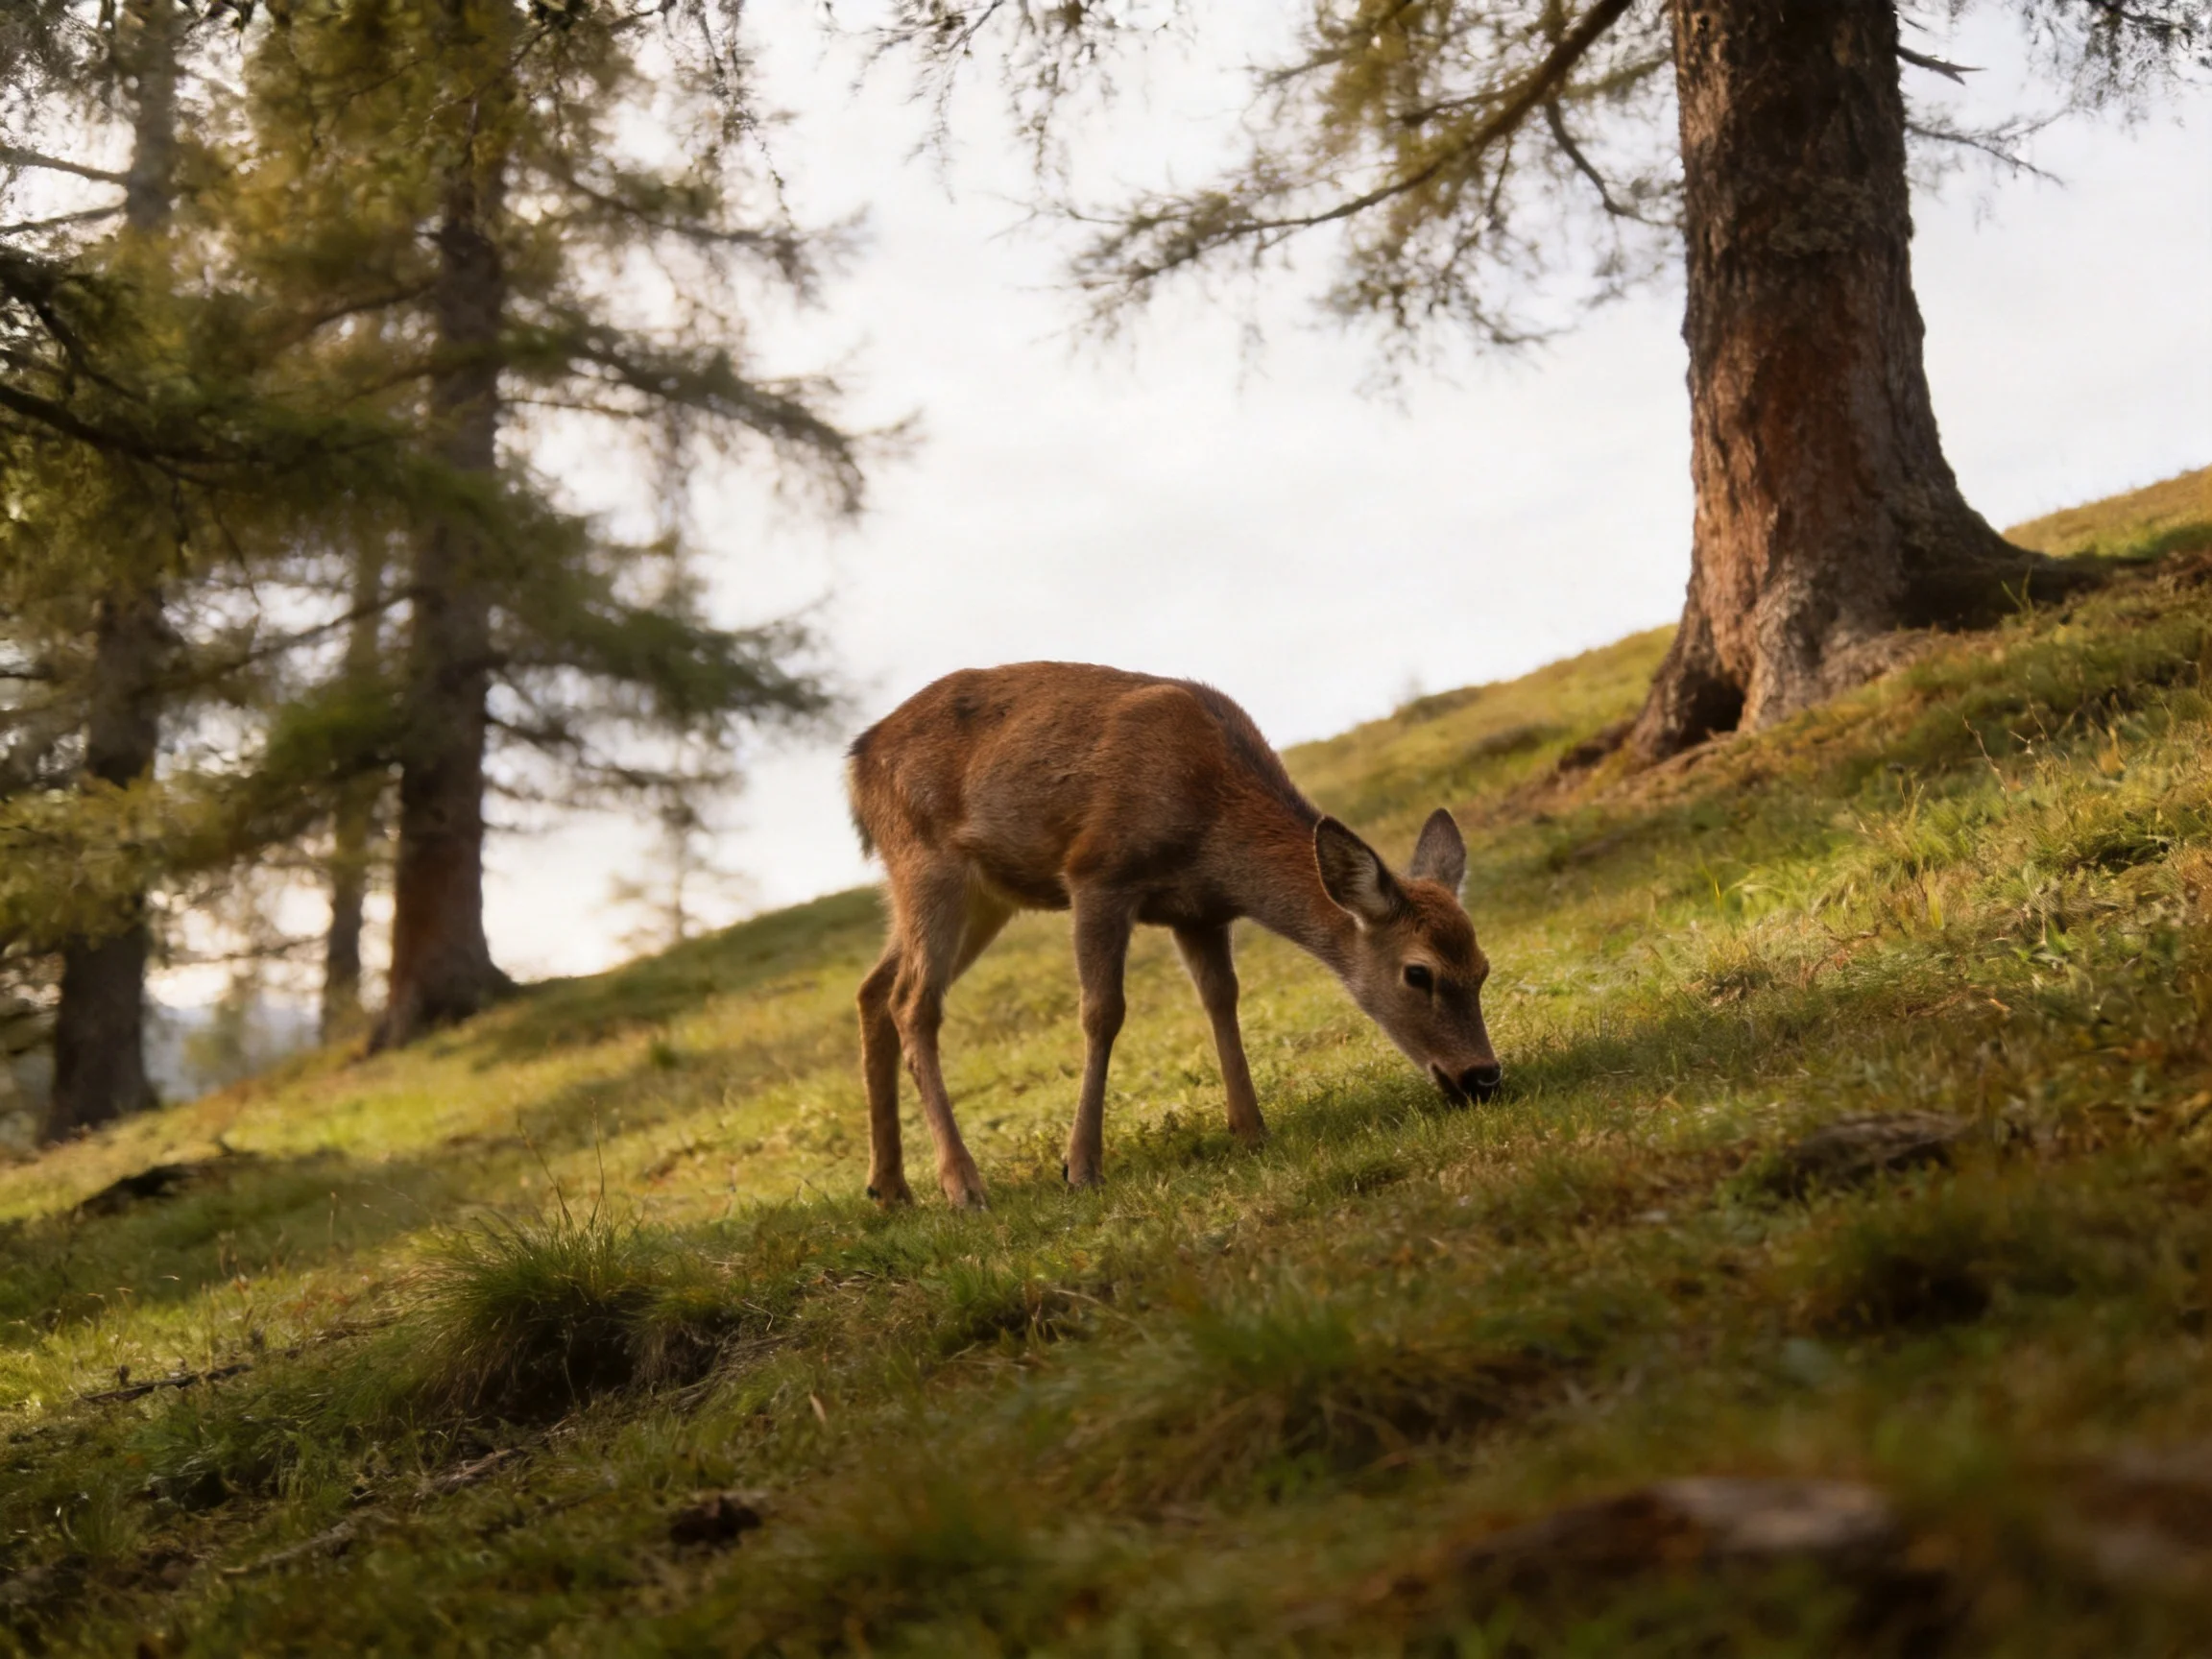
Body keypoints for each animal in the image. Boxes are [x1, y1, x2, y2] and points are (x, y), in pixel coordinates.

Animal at [846, 662, 1502, 1208]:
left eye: (1483, 967)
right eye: (1418, 972)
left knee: (873, 989)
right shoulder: (1097, 872)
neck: (1211, 831)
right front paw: (1081, 1166)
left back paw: (890, 1187)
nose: (1483, 1077)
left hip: (985, 896)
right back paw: (962, 1184)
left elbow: (1222, 998)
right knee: (912, 1003)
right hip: (927, 863)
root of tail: (855, 764)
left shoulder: (1200, 913)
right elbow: (1102, 1011)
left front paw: (1251, 1130)